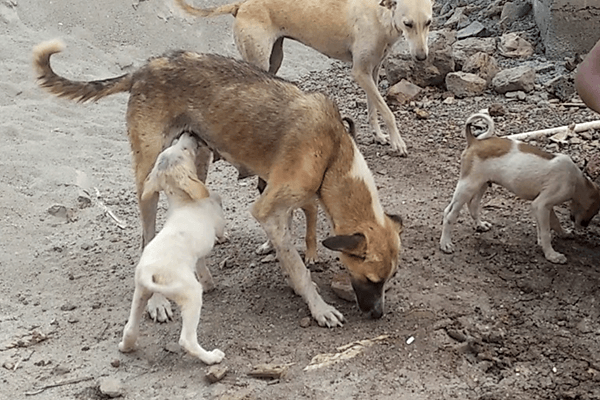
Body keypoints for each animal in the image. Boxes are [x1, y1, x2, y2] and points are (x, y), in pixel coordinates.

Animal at [34, 39, 404, 328]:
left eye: (391, 279)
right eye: (371, 279)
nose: (378, 315)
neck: (332, 152)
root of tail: (145, 68)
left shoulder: (284, 200)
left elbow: (292, 239)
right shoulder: (267, 207)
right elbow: (300, 271)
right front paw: (319, 308)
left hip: (197, 160)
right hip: (148, 177)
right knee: (147, 239)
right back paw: (157, 302)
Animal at [118, 133, 226, 364]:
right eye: (184, 148)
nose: (190, 133)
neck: (183, 202)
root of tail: (151, 272)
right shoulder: (216, 217)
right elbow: (218, 204)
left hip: (141, 294)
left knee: (130, 329)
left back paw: (127, 346)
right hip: (191, 294)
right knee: (187, 341)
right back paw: (211, 357)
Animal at [172, 0, 432, 156]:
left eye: (429, 22)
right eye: (408, 23)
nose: (422, 57)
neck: (381, 15)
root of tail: (242, 4)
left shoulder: (373, 72)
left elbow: (373, 108)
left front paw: (379, 136)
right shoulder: (360, 72)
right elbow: (388, 112)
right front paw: (398, 142)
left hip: (274, 60)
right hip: (259, 61)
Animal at [438, 112, 600, 264]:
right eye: (594, 211)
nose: (584, 226)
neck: (577, 180)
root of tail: (474, 141)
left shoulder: (545, 206)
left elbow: (553, 223)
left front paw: (562, 234)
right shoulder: (541, 204)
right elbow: (546, 232)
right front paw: (552, 255)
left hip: (482, 183)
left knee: (473, 205)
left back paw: (480, 225)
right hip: (467, 186)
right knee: (449, 213)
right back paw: (445, 243)